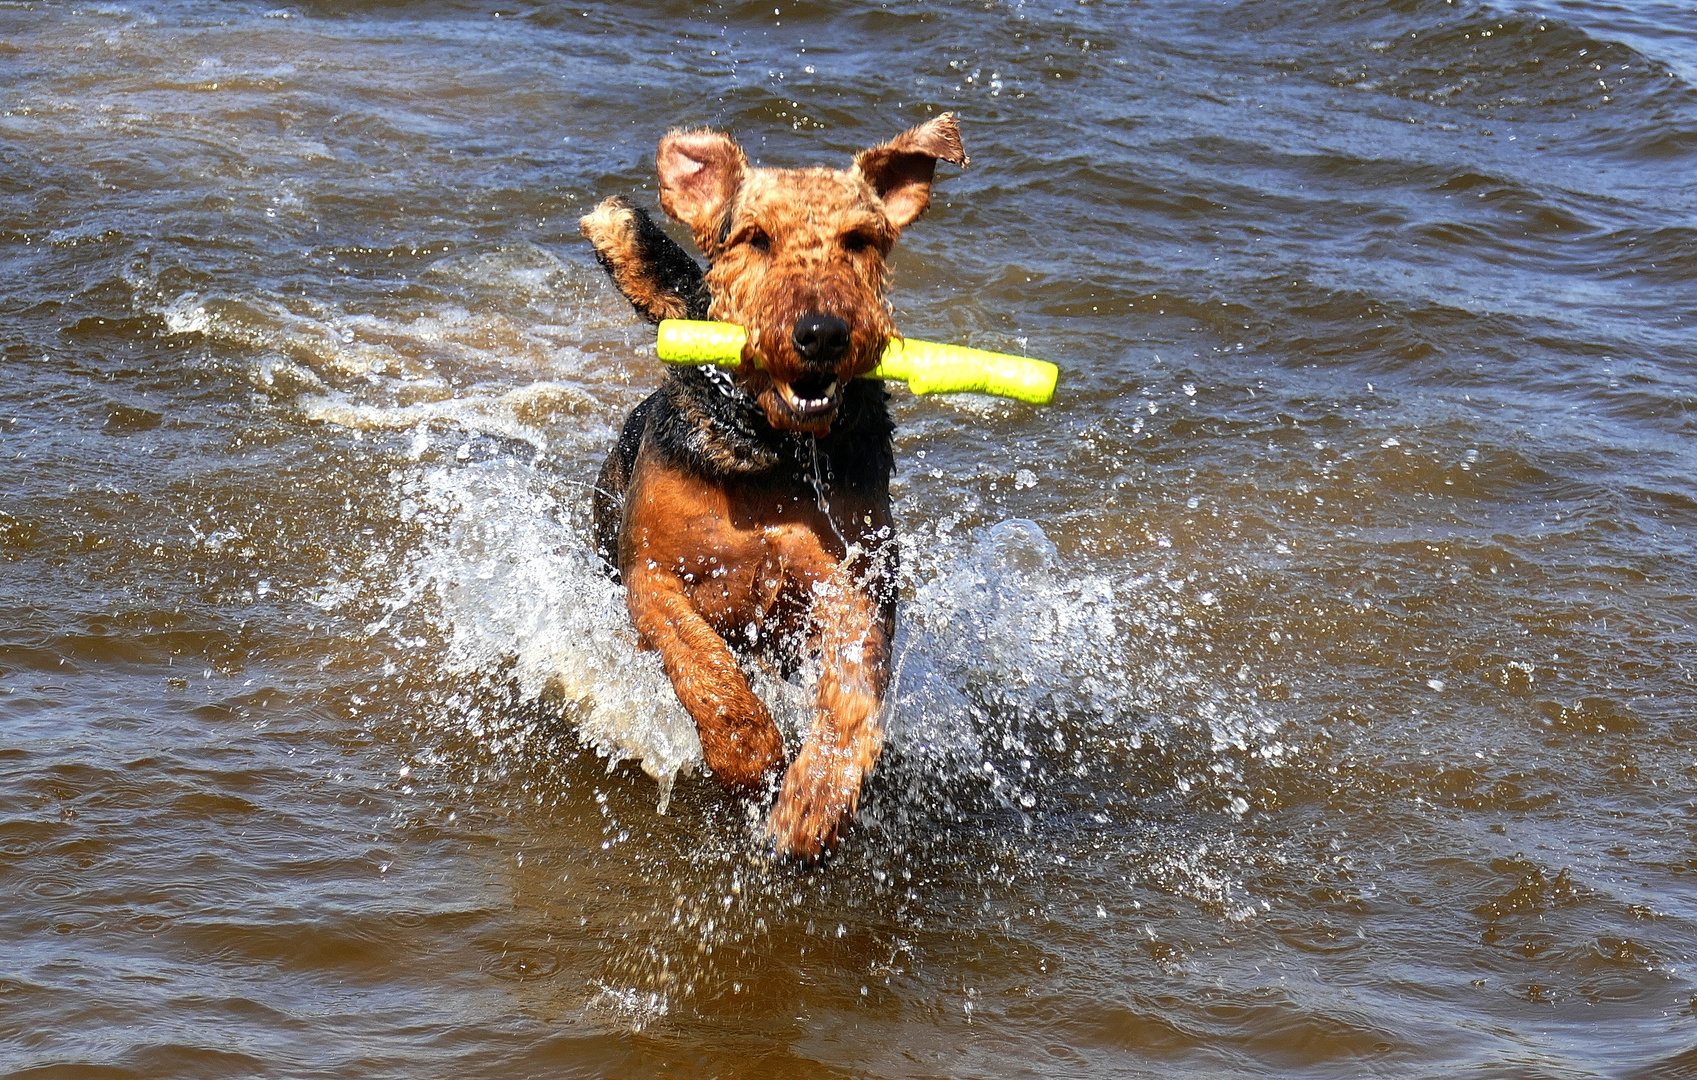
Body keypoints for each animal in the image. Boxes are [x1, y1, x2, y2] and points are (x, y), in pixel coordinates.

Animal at [576, 113, 963, 859]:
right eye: (754, 237)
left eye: (859, 240)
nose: (822, 333)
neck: (772, 451)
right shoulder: (653, 575)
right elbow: (706, 673)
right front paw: (752, 761)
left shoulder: (855, 585)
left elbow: (851, 701)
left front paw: (811, 805)